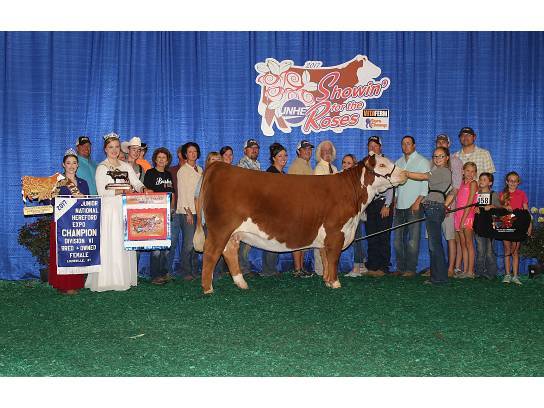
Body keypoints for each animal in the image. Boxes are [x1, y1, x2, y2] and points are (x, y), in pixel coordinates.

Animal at [193, 153, 406, 294]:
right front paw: (335, 283)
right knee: (211, 253)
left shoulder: (327, 237)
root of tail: (219, 167)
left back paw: (241, 283)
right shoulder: (336, 232)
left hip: (232, 232)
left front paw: (327, 280)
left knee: (229, 252)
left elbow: (326, 258)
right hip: (220, 228)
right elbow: (334, 258)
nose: (404, 174)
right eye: (382, 165)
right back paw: (208, 288)